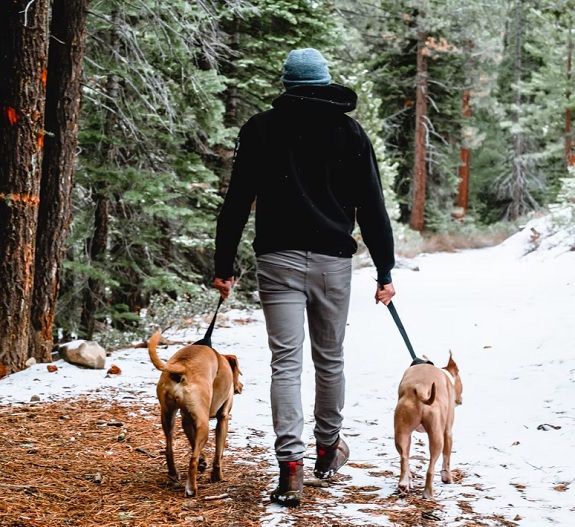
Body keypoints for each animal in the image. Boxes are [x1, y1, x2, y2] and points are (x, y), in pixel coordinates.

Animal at [148, 332, 243, 498]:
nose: (241, 386)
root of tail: (182, 366)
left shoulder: (187, 420)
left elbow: (193, 442)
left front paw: (203, 461)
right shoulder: (223, 418)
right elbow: (219, 452)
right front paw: (217, 476)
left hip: (168, 416)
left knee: (169, 448)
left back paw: (174, 473)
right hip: (204, 424)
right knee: (192, 460)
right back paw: (191, 488)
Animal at [396, 354, 464, 500]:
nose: (460, 400)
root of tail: (421, 389)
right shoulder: (447, 433)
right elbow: (446, 459)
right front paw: (447, 478)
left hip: (402, 432)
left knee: (404, 458)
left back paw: (404, 484)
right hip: (437, 437)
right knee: (430, 468)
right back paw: (428, 493)